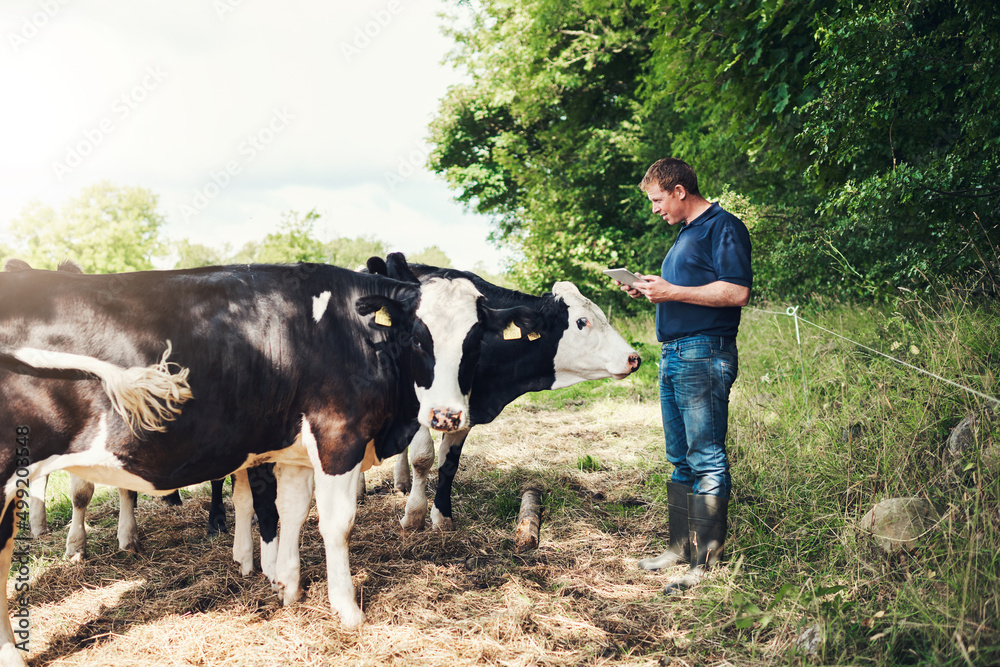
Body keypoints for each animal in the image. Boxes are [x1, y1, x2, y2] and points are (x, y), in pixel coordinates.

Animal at [1, 256, 532, 664]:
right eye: (419, 336)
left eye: (474, 340)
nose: (446, 415)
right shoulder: (338, 437)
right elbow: (336, 523)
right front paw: (347, 610)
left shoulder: (296, 450)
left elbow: (291, 513)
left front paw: (288, 589)